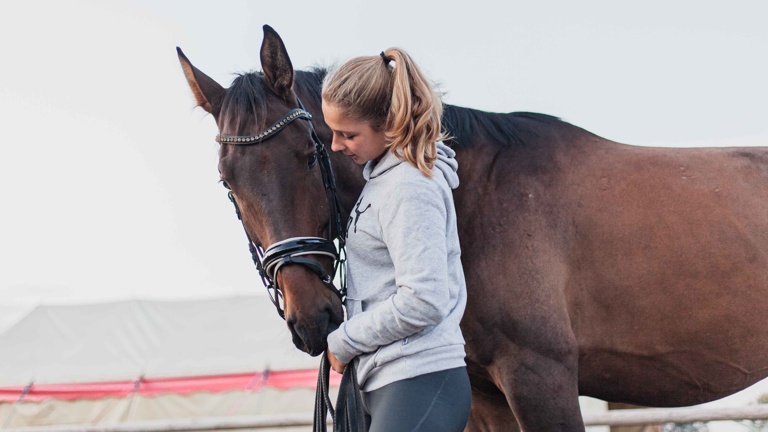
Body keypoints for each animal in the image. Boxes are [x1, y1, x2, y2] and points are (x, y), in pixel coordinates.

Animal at [177, 25, 768, 430]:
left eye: (307, 155)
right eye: (228, 181)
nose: (312, 319)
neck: (474, 200)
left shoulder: (541, 377)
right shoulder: (485, 395)